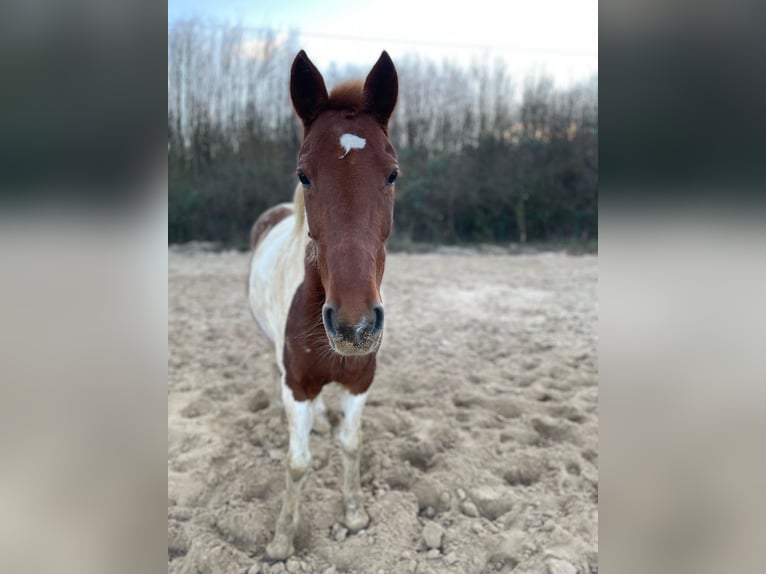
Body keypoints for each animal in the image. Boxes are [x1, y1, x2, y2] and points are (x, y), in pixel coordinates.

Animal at [247, 50, 398, 560]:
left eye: (392, 173)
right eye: (304, 174)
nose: (354, 327)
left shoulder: (359, 381)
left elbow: (351, 446)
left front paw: (354, 515)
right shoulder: (297, 385)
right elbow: (297, 463)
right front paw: (280, 539)